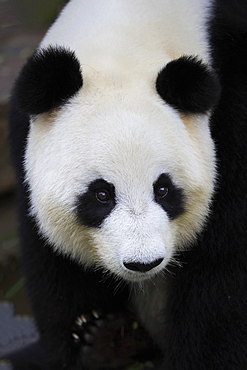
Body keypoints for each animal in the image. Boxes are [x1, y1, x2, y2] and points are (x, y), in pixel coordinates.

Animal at [4, 0, 247, 368]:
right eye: (101, 194)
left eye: (163, 189)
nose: (142, 263)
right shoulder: (24, 138)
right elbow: (53, 267)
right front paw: (94, 342)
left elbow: (224, 274)